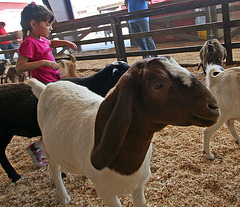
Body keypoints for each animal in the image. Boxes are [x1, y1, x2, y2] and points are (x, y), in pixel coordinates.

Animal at [26, 55, 219, 206]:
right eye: (158, 85)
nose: (214, 106)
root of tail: (46, 87)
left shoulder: (139, 185)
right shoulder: (107, 194)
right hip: (48, 145)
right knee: (55, 168)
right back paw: (64, 196)